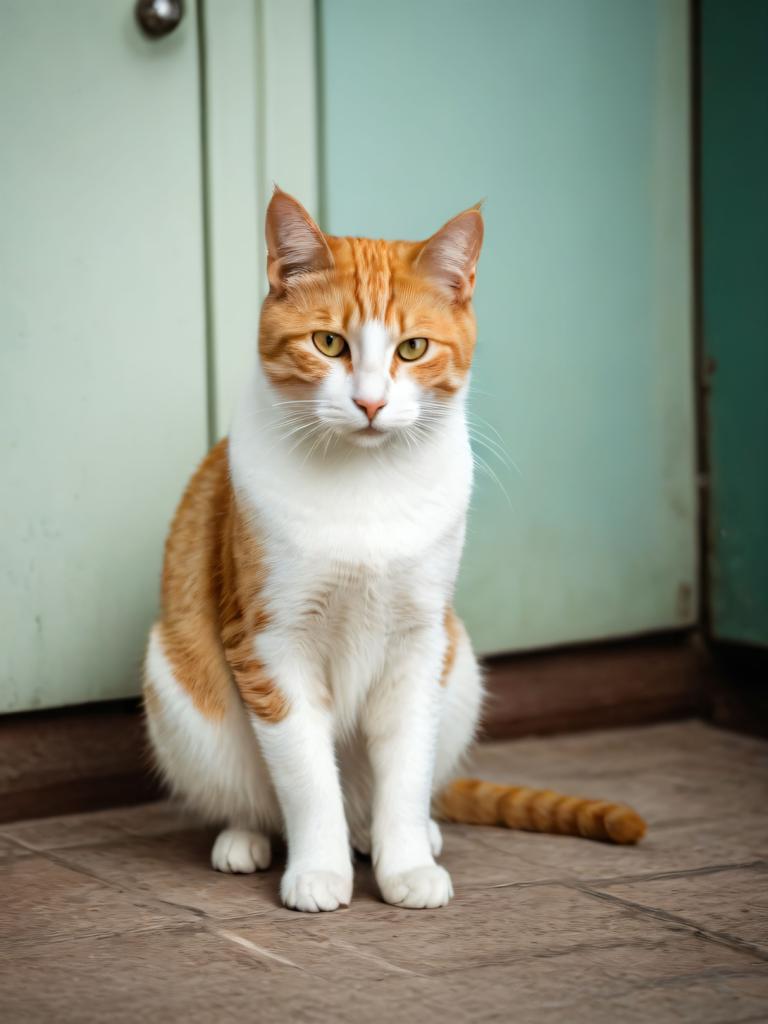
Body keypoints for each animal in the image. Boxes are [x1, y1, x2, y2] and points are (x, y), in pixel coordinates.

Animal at [143, 186, 643, 913]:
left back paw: (399, 837)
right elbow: (306, 778)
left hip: (459, 667)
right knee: (259, 799)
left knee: (382, 799)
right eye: (328, 343)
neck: (366, 484)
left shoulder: (418, 642)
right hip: (178, 685)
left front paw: (405, 865)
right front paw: (318, 872)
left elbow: (405, 773)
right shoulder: (270, 645)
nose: (371, 403)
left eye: (412, 348)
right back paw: (247, 839)